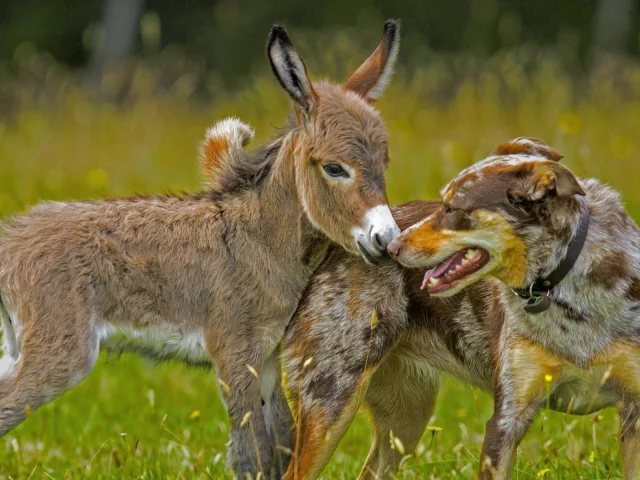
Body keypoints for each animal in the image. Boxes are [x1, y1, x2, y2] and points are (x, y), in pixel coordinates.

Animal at [0, 20, 400, 478]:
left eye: (384, 164)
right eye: (335, 168)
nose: (387, 239)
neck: (260, 241)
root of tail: (11, 241)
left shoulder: (267, 358)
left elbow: (280, 446)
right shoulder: (235, 354)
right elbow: (252, 455)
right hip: (60, 354)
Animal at [280, 137, 640, 478]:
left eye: (452, 208)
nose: (391, 247)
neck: (562, 288)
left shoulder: (634, 414)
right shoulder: (507, 419)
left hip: (406, 418)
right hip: (332, 406)